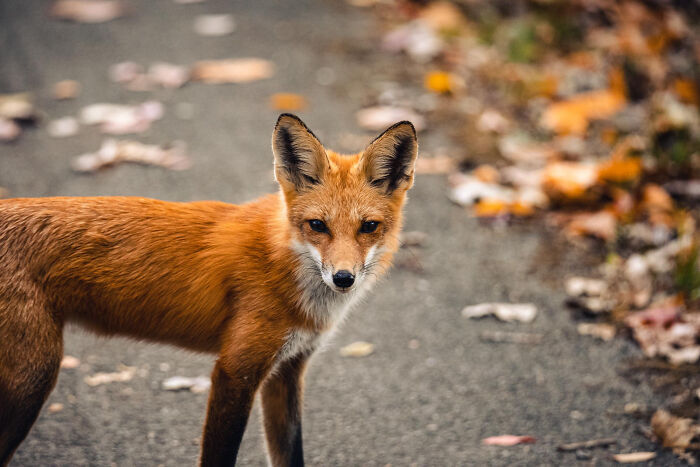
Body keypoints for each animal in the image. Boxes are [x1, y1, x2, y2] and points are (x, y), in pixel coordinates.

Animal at [0, 114, 418, 466]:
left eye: (368, 227)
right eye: (318, 225)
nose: (343, 278)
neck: (282, 262)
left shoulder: (286, 371)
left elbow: (290, 455)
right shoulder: (235, 370)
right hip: (33, 379)